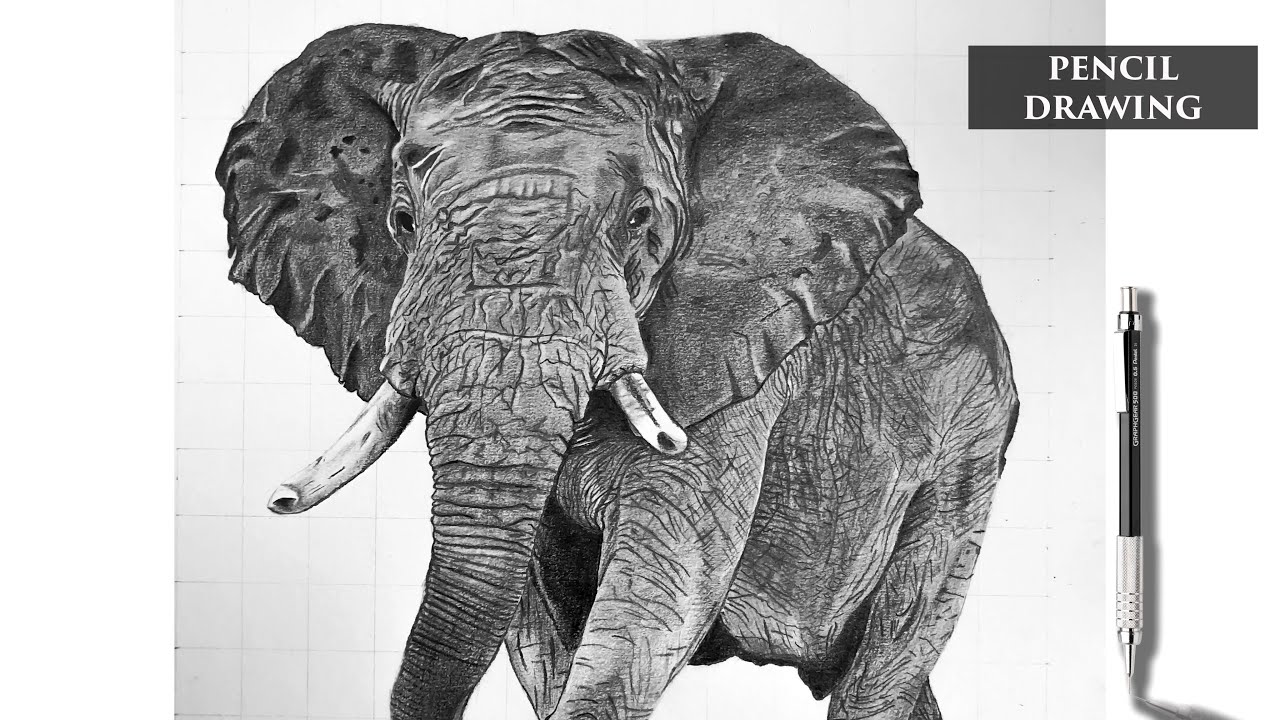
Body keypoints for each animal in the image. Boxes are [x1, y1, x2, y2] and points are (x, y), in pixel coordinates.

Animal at [214, 24, 1018, 720]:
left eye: (638, 219)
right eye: (403, 222)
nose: (277, 500)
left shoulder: (742, 368)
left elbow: (657, 599)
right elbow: (538, 616)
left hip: (969, 449)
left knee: (889, 658)